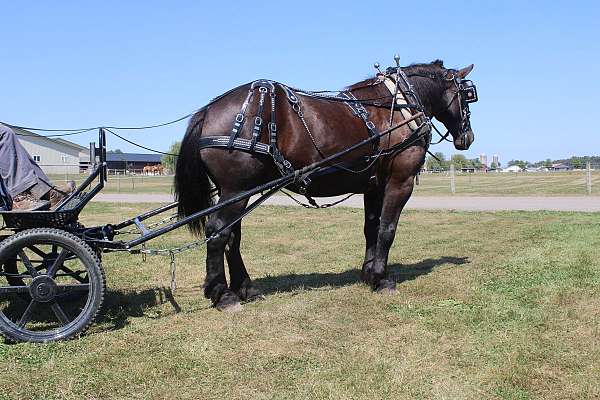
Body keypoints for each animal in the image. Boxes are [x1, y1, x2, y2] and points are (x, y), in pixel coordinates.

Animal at [175, 59, 478, 310]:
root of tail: (208, 110)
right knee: (218, 233)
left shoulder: (373, 186)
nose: (468, 137)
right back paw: (222, 295)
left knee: (232, 238)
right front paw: (381, 279)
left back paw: (246, 288)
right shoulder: (399, 182)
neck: (399, 106)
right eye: (468, 95)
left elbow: (371, 229)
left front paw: (368, 274)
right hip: (236, 191)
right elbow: (387, 230)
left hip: (238, 192)